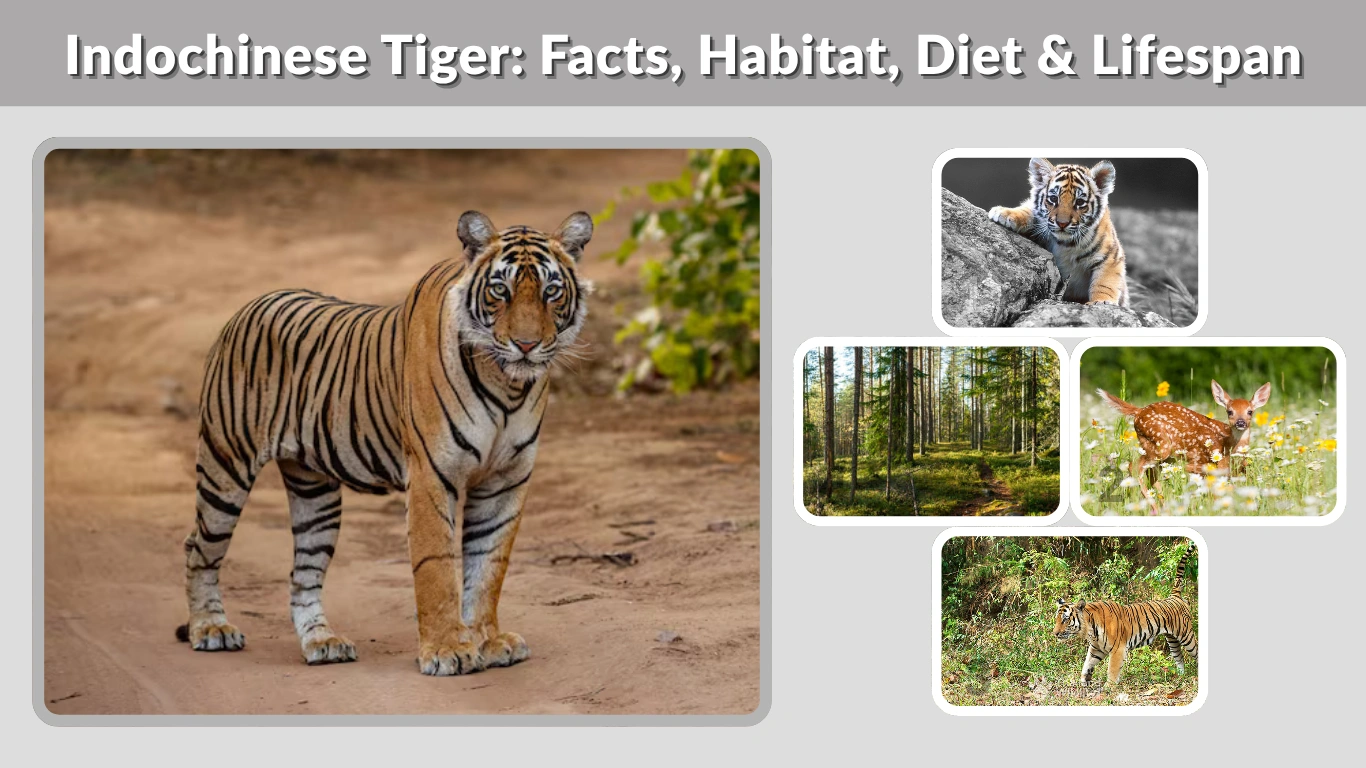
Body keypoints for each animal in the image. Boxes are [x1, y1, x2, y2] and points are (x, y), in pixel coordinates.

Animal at [176, 210, 593, 677]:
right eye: (499, 290)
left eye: (551, 291)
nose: (526, 345)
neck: (508, 386)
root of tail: (247, 306)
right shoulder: (432, 475)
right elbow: (436, 566)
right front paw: (447, 650)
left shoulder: (505, 481)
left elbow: (488, 566)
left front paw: (488, 640)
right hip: (225, 466)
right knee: (198, 547)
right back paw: (211, 628)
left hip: (315, 494)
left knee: (303, 574)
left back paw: (322, 642)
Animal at [987, 157, 1130, 307]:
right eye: (1053, 199)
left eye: (1079, 202)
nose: (1062, 223)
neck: (1065, 244)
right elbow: (1029, 210)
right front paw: (1004, 213)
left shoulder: (1111, 257)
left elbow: (1105, 283)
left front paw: (1101, 301)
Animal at [1052, 543, 1197, 686]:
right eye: (1056, 619)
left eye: (1065, 620)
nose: (1055, 634)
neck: (1089, 629)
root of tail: (1175, 596)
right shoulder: (1096, 649)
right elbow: (1087, 664)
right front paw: (1084, 681)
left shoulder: (1118, 649)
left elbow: (1112, 669)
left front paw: (1109, 687)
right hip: (1172, 640)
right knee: (1179, 658)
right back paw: (1181, 676)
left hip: (1186, 636)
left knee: (1196, 652)